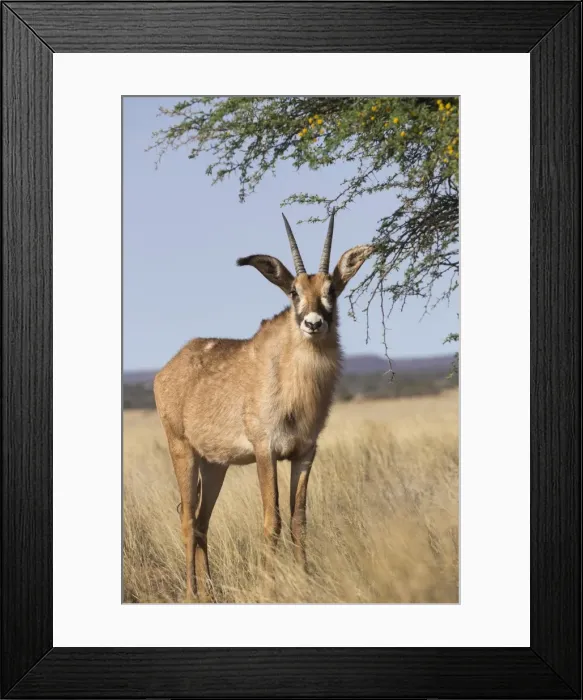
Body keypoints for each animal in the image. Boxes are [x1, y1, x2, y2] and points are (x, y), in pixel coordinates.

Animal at [153, 211, 373, 602]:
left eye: (331, 290)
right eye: (293, 291)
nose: (314, 323)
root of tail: (169, 367)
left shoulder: (305, 453)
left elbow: (299, 520)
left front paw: (306, 581)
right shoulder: (265, 451)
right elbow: (272, 522)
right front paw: (271, 587)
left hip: (215, 465)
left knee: (202, 521)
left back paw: (210, 594)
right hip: (182, 451)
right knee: (188, 520)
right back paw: (192, 594)